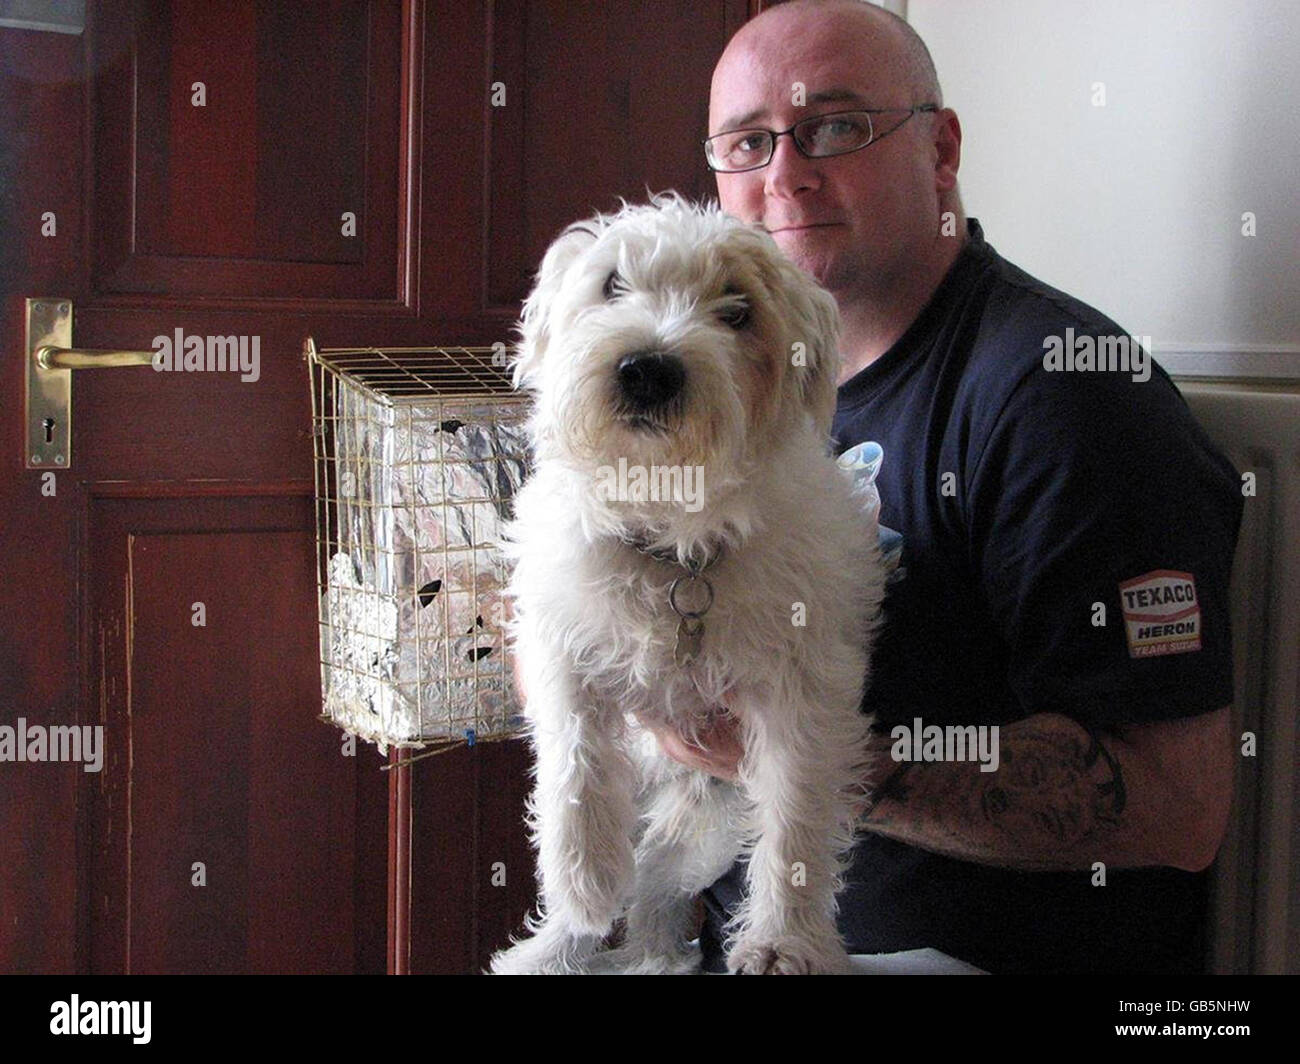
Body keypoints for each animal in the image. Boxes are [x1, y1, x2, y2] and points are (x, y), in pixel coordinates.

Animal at [491, 192, 889, 967]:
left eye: (738, 310)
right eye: (612, 284)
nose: (648, 368)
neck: (674, 548)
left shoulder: (805, 691)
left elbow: (795, 819)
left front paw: (784, 942)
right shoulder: (558, 642)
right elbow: (575, 763)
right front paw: (584, 879)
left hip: (705, 822)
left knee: (654, 892)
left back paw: (651, 956)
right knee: (635, 880)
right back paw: (553, 948)